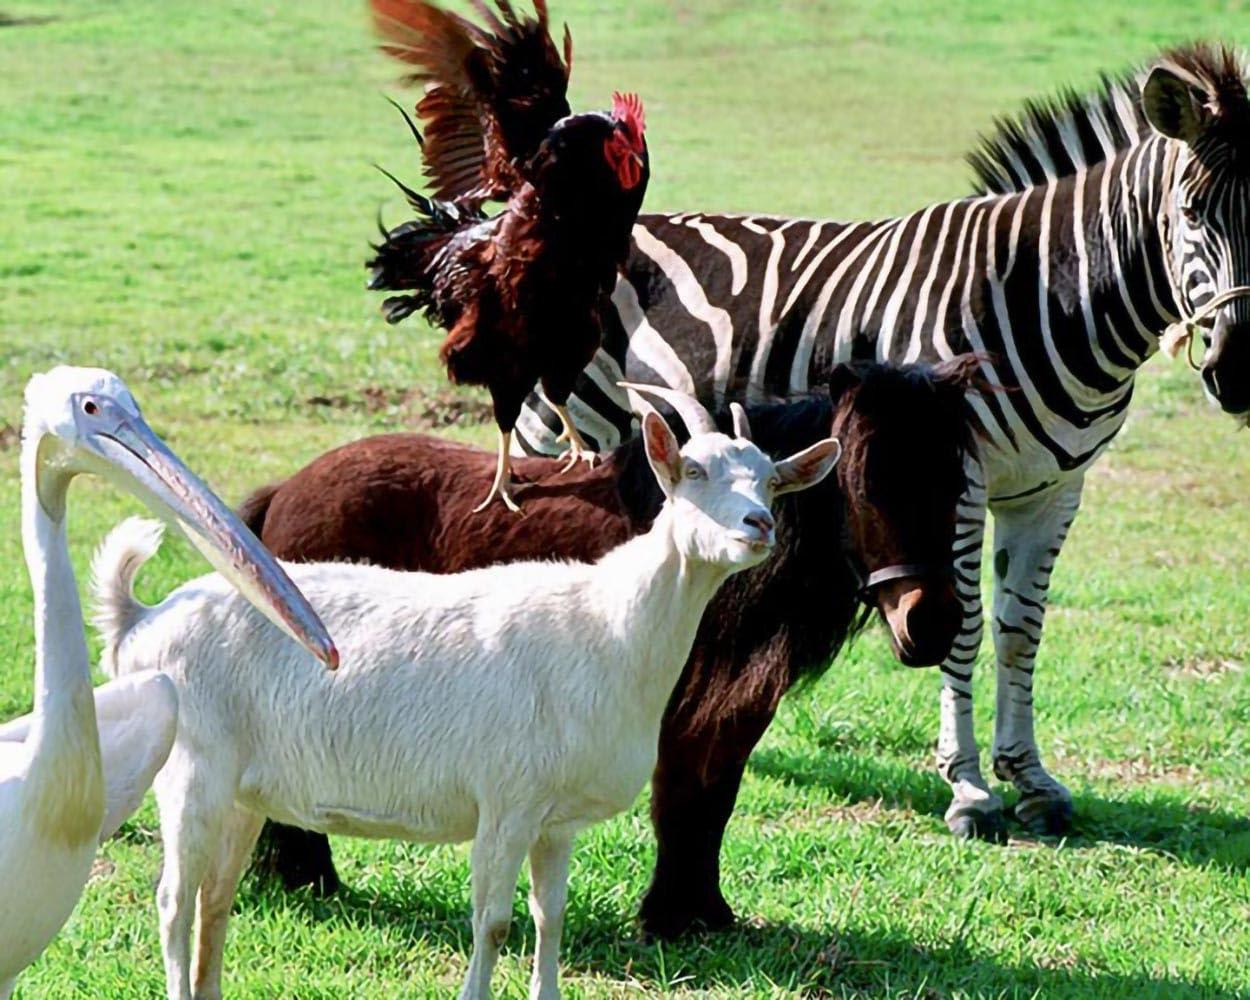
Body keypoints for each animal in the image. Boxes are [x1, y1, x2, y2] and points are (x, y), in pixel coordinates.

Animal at [93, 401, 839, 1000]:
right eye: (693, 471)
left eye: (771, 480)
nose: (759, 525)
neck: (607, 625)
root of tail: (141, 619)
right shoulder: (507, 804)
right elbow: (495, 922)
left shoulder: (555, 822)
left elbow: (549, 918)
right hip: (190, 774)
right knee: (175, 900)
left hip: (242, 794)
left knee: (215, 900)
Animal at [246, 358, 981, 938]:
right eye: (866, 481)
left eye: (956, 483)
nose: (932, 623)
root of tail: (285, 491)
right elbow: (679, 797)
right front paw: (668, 917)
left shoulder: (737, 709)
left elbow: (713, 799)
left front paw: (704, 912)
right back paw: (304, 875)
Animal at [515, 43, 1250, 842]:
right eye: (1188, 215)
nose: (1240, 368)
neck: (1051, 298)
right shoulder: (959, 481)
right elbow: (962, 625)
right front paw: (969, 789)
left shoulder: (1053, 489)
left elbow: (1020, 628)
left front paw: (1030, 779)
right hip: (554, 425)